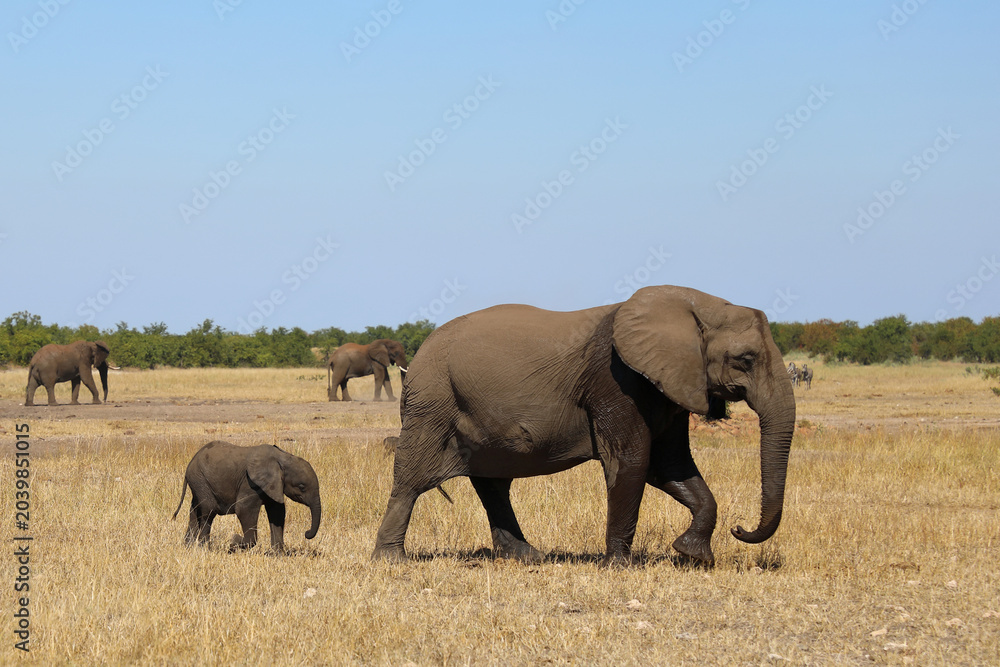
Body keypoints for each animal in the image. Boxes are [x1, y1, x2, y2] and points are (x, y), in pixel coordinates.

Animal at [172, 441, 322, 552]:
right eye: (302, 487)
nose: (306, 533)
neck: (282, 457)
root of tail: (192, 461)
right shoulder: (250, 483)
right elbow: (244, 510)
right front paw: (233, 542)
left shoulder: (273, 485)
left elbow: (277, 513)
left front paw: (278, 554)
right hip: (200, 480)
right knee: (208, 511)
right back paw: (204, 549)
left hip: (198, 483)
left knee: (194, 511)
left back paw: (188, 547)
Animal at [372, 285, 796, 567]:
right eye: (745, 359)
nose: (740, 530)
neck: (695, 307)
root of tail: (421, 349)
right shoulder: (615, 379)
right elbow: (632, 461)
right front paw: (618, 566)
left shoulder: (670, 386)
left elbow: (670, 466)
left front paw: (694, 556)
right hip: (433, 401)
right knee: (411, 479)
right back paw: (391, 560)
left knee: (493, 484)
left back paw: (529, 557)